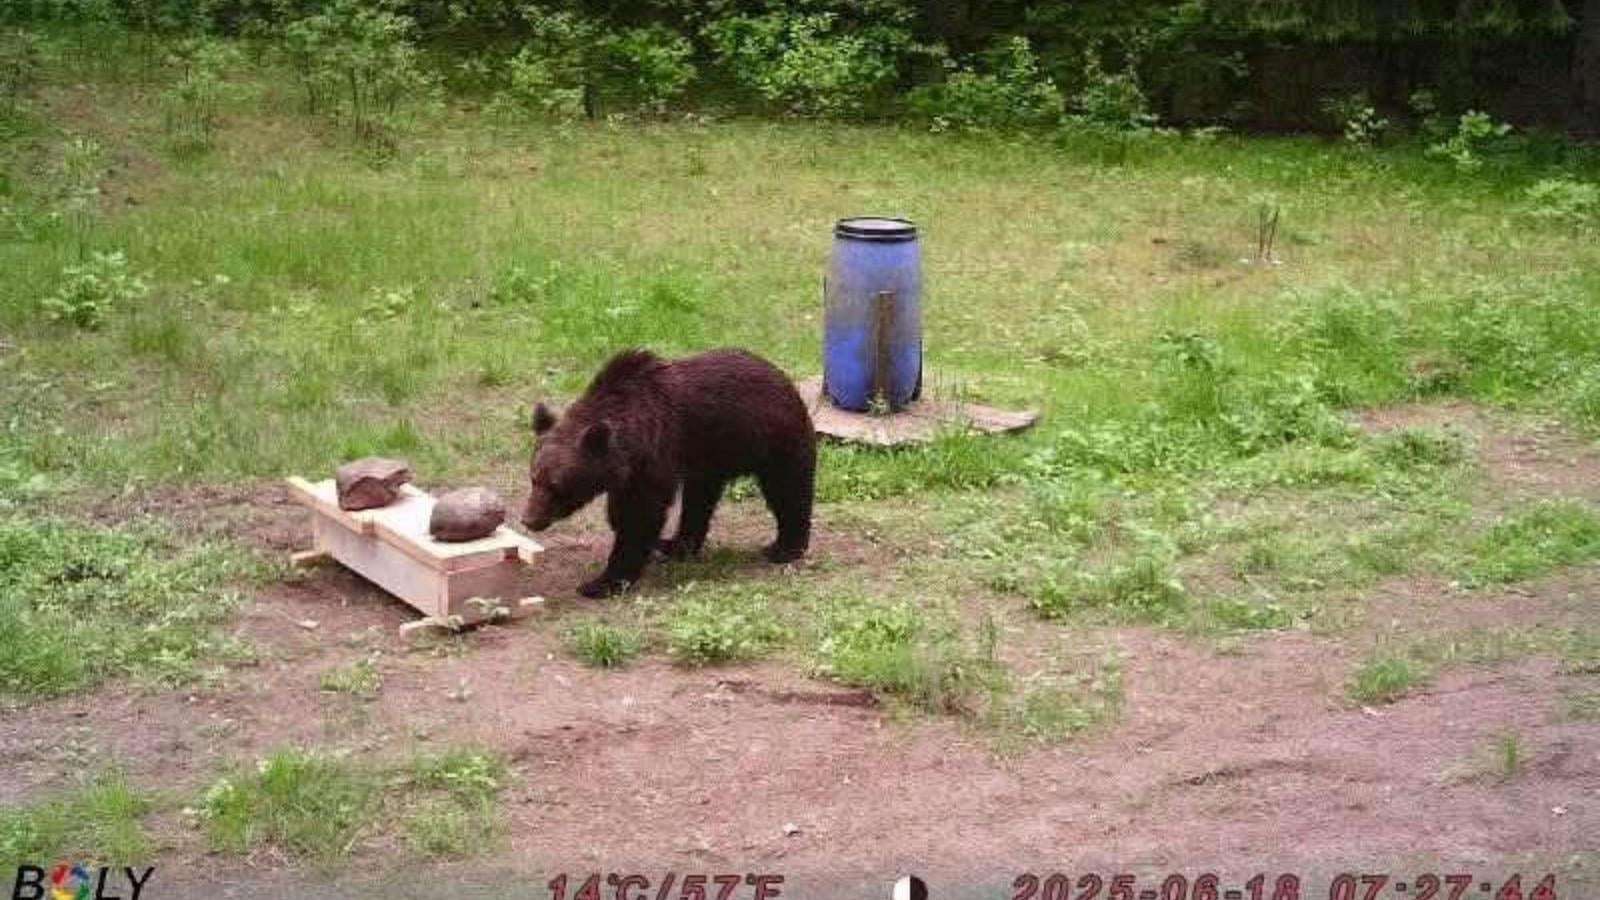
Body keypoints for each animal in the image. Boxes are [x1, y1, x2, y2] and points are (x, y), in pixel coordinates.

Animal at [520, 348, 817, 599]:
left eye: (556, 485)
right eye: (534, 478)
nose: (529, 519)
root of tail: (784, 378)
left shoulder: (655, 457)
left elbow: (638, 517)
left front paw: (602, 582)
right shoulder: (629, 473)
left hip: (772, 441)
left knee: (788, 490)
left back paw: (784, 548)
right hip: (709, 461)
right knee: (698, 504)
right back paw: (675, 545)